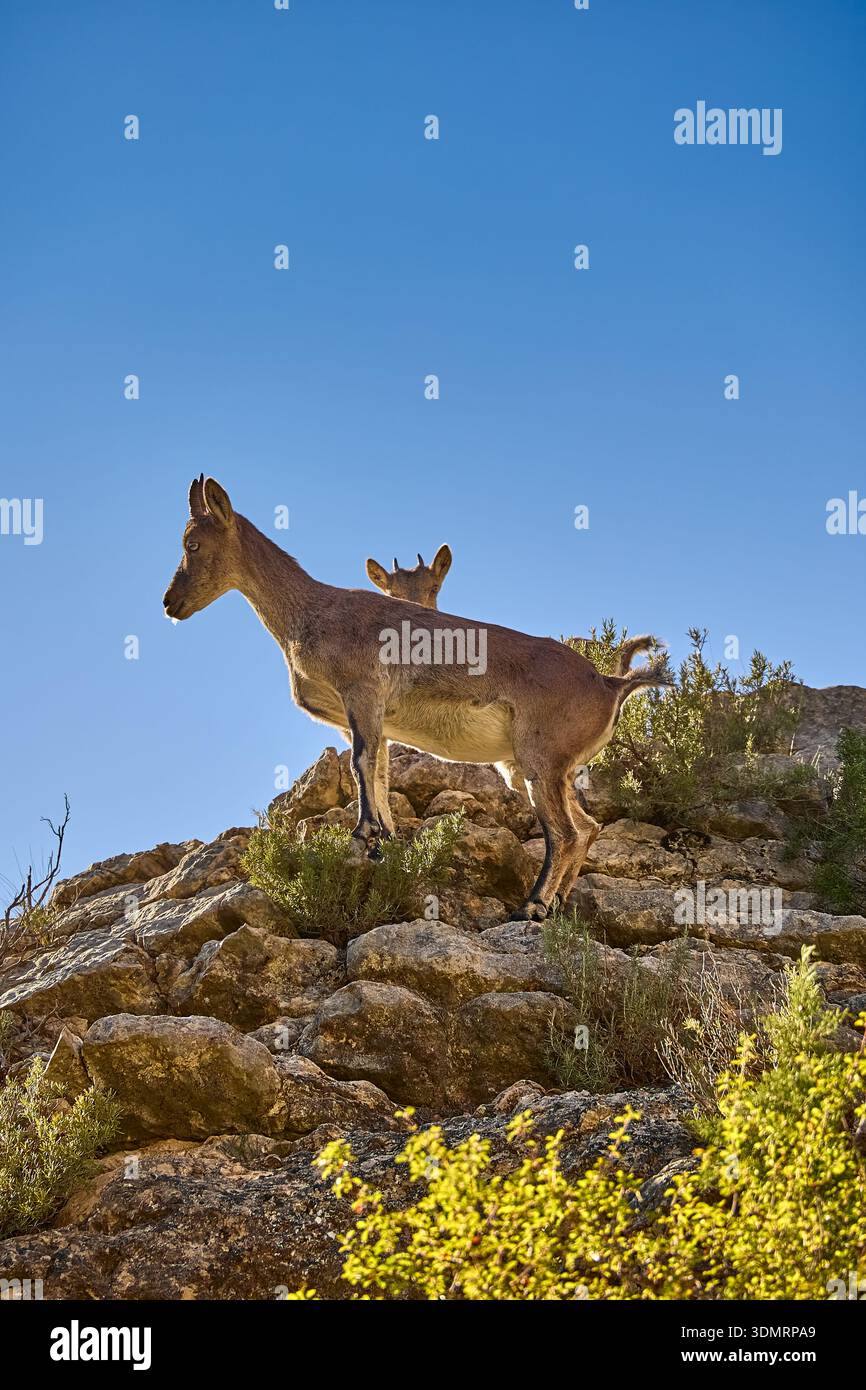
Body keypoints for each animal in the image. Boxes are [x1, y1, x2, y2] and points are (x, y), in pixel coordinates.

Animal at [163, 476, 671, 920]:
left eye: (192, 544)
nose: (170, 602)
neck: (310, 612)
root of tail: (608, 685)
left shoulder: (362, 695)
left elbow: (361, 764)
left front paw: (363, 837)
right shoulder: (372, 720)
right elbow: (380, 772)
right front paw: (384, 840)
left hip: (540, 759)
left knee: (564, 833)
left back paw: (531, 907)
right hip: (538, 770)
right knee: (586, 828)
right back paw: (558, 905)